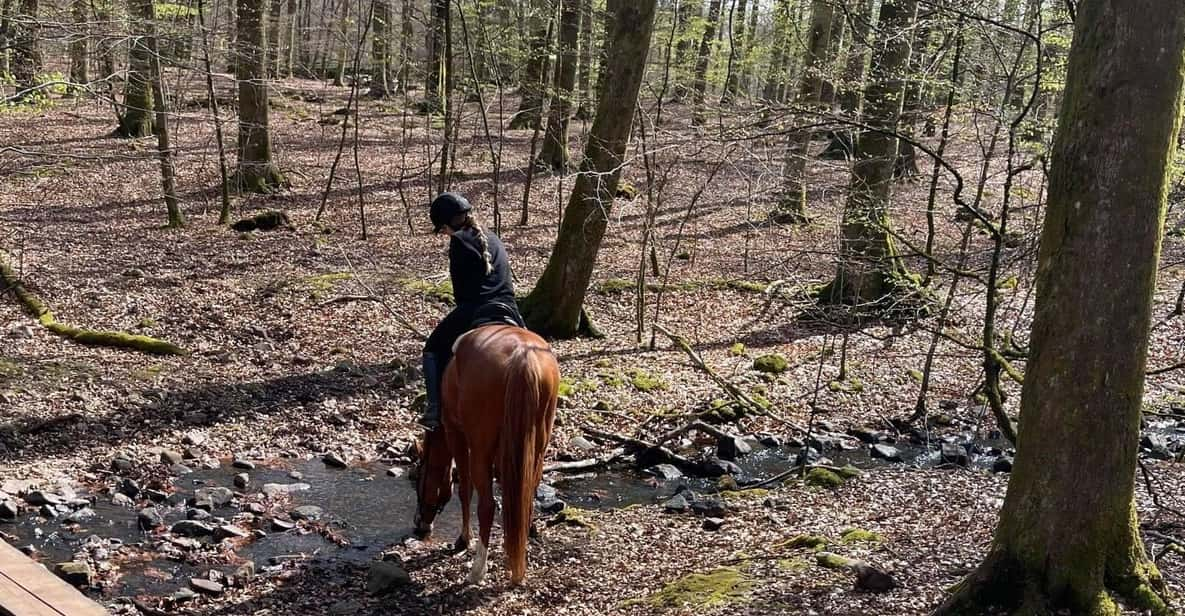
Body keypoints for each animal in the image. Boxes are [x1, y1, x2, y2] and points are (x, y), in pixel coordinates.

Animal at [412, 322, 559, 587]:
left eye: (419, 475)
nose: (419, 524)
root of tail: (523, 355)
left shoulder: (455, 432)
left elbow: (464, 489)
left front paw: (463, 539)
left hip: (480, 447)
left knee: (487, 505)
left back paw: (477, 570)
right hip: (538, 446)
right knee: (526, 494)